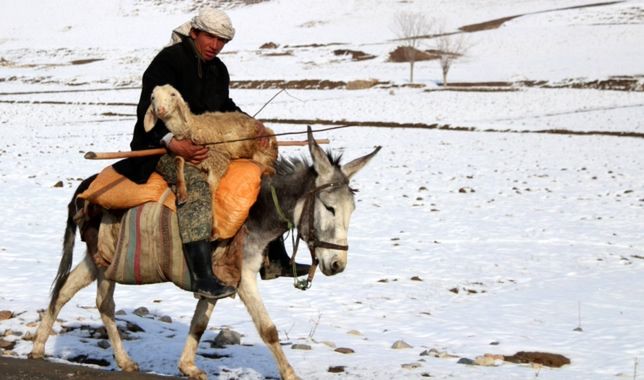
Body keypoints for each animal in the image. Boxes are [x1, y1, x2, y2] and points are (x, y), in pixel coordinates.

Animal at [143, 84, 276, 233]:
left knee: (271, 169)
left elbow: (211, 188)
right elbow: (178, 161)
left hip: (264, 152)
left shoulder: (219, 161)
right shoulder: (188, 155)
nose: (160, 109)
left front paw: (214, 228)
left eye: (173, 95)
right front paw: (181, 193)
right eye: (152, 98)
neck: (192, 128)